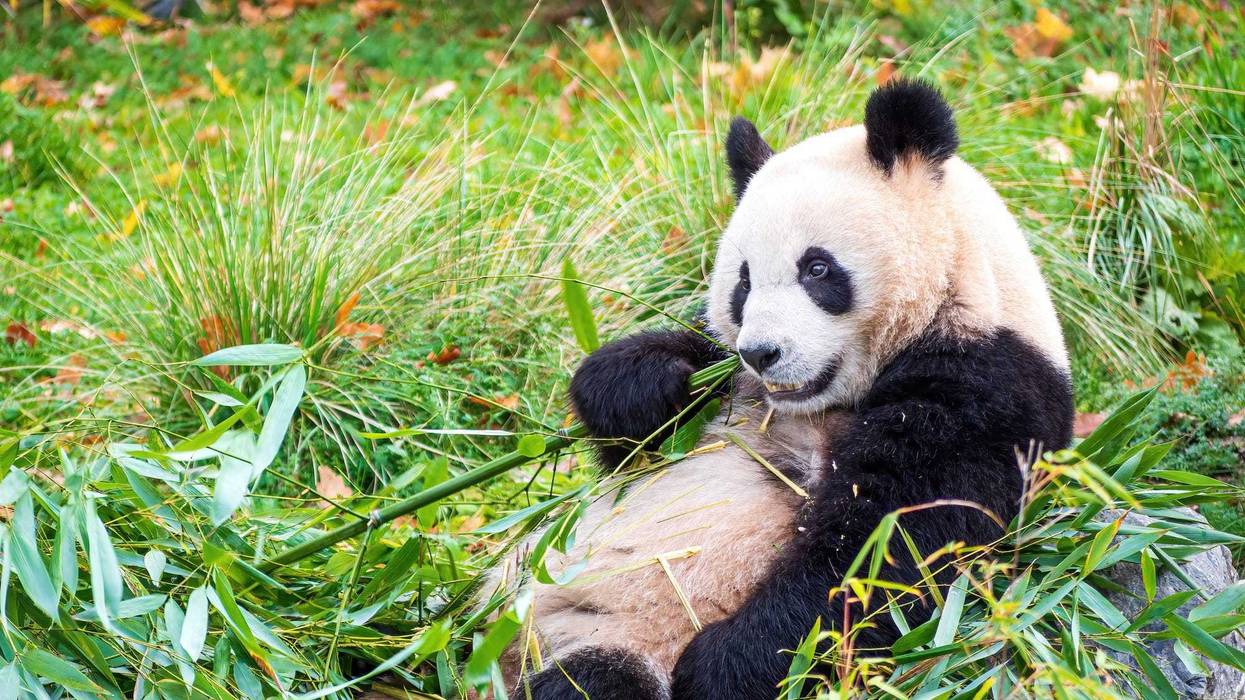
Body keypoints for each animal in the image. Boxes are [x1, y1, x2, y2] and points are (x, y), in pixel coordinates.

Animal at [492, 79, 1075, 700]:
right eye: (743, 281)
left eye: (817, 269)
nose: (761, 353)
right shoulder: (727, 375)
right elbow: (631, 453)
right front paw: (648, 383)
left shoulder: (991, 386)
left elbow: (890, 546)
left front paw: (724, 665)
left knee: (595, 683)